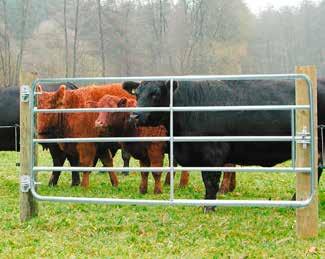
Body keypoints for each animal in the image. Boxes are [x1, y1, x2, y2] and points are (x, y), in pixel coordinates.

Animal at [124, 79, 324, 209]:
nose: (135, 116)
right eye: (137, 94)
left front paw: (209, 206)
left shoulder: (213, 152)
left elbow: (210, 181)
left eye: (156, 94)